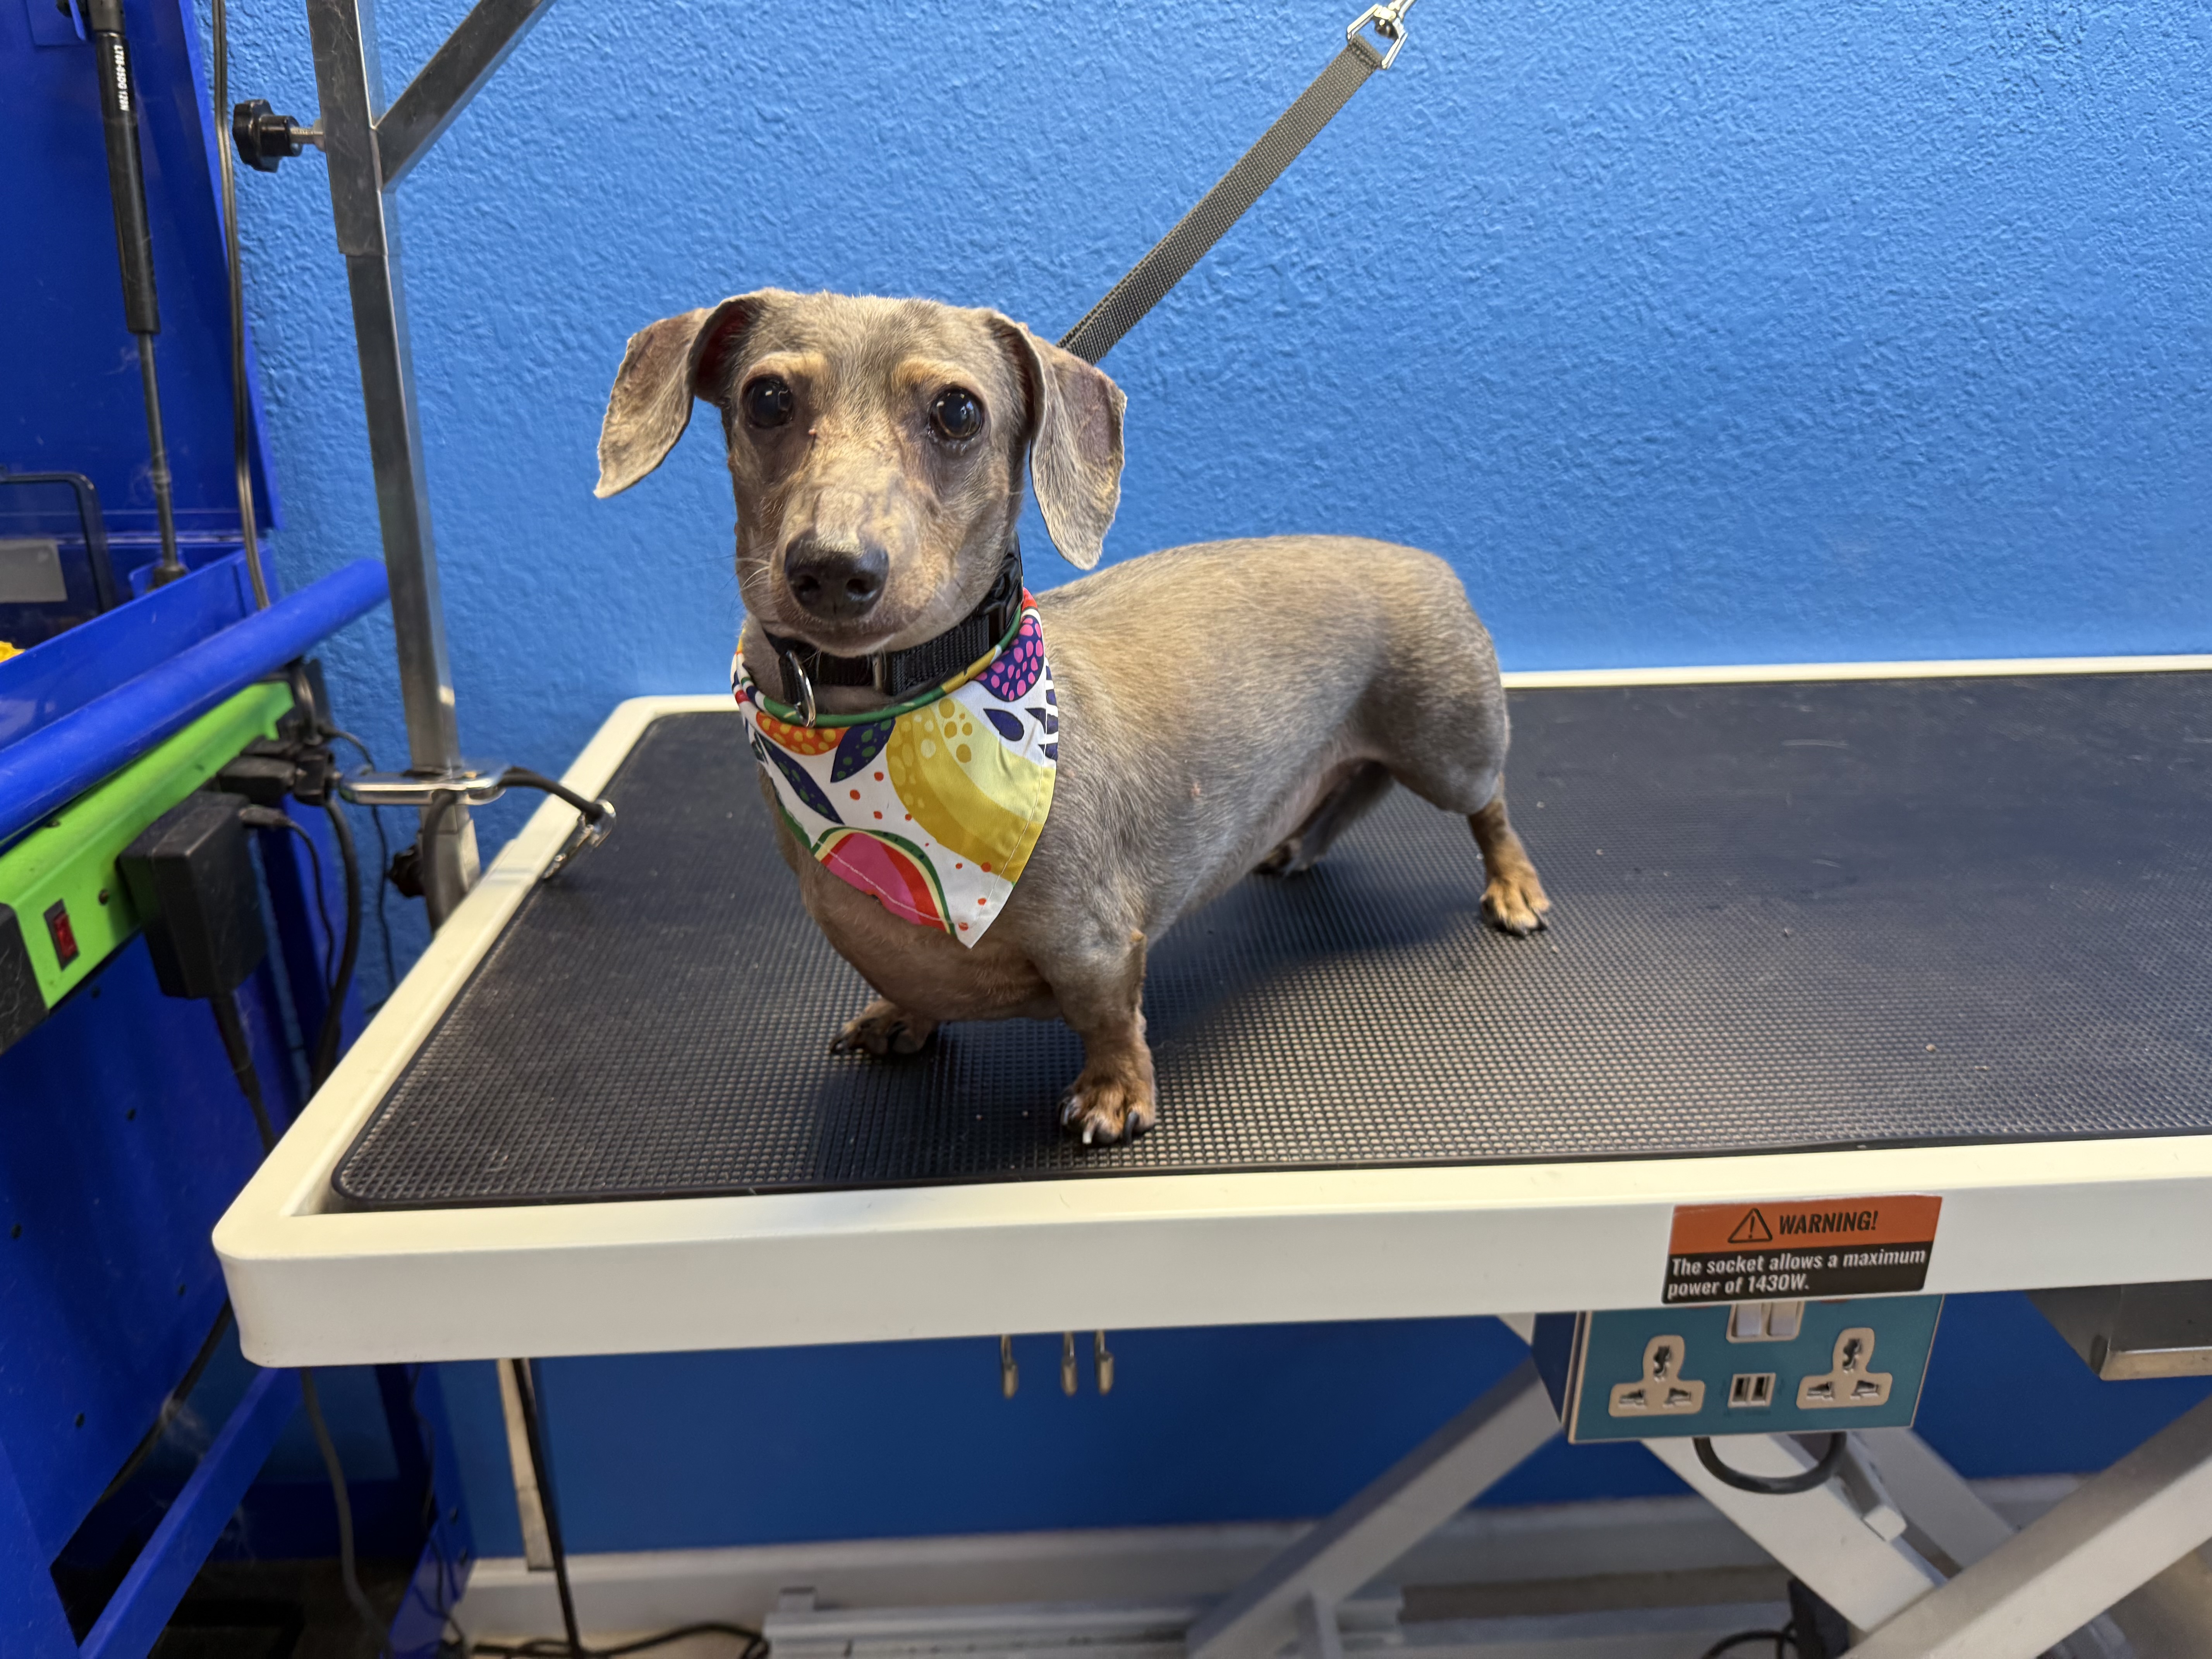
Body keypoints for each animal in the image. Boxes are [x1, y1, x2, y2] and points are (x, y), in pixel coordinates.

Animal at [596, 290, 1549, 1144]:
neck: (880, 726)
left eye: (957, 411)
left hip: (1451, 747)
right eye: (766, 399)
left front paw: (1114, 1092)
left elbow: (1111, 1020)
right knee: (1345, 791)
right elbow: (914, 986)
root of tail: (1420, 557)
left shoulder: (1097, 945)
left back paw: (1513, 885)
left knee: (1489, 807)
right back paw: (1294, 844)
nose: (833, 567)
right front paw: (900, 1014)